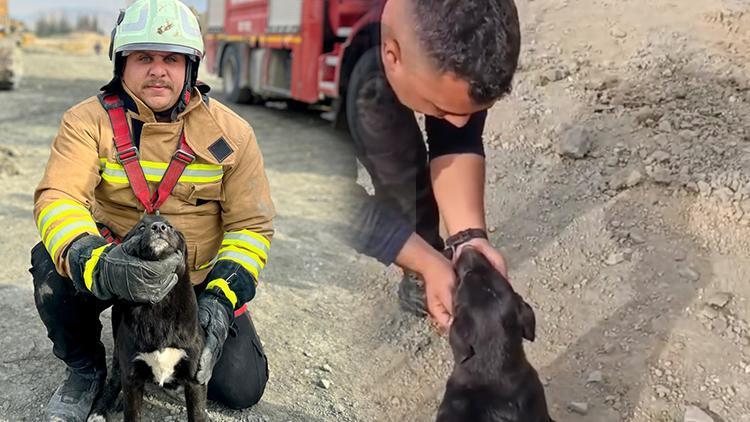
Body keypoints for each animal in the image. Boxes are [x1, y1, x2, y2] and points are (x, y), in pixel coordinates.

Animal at [87, 216, 206, 420]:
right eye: (141, 227)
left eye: (171, 227)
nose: (159, 227)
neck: (158, 307)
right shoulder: (132, 376)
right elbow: (132, 412)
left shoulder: (195, 379)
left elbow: (197, 414)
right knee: (115, 379)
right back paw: (100, 411)